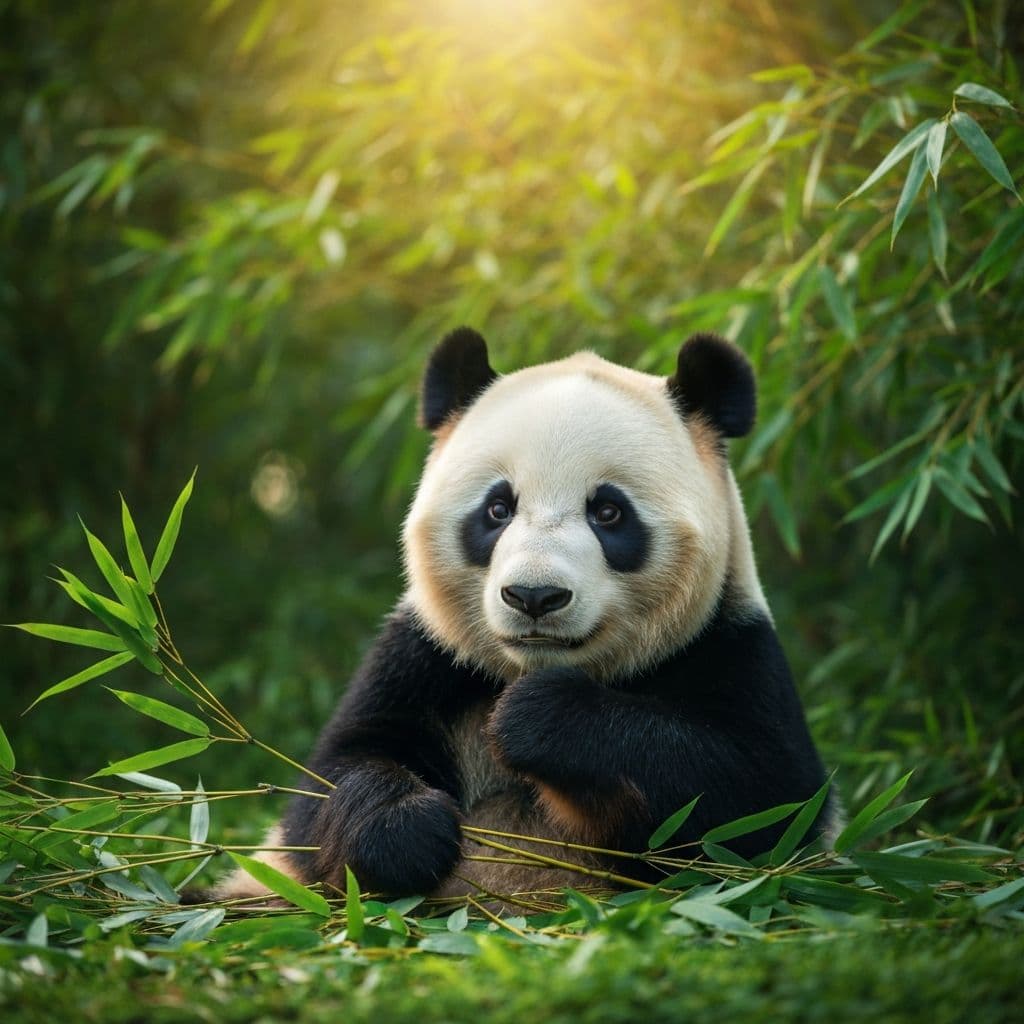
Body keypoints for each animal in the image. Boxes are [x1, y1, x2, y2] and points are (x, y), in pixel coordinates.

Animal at [202, 327, 835, 903]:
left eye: (609, 512)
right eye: (498, 508)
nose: (534, 596)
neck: (531, 666)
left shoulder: (728, 646)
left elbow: (756, 800)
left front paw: (539, 719)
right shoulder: (426, 656)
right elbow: (336, 776)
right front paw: (405, 830)